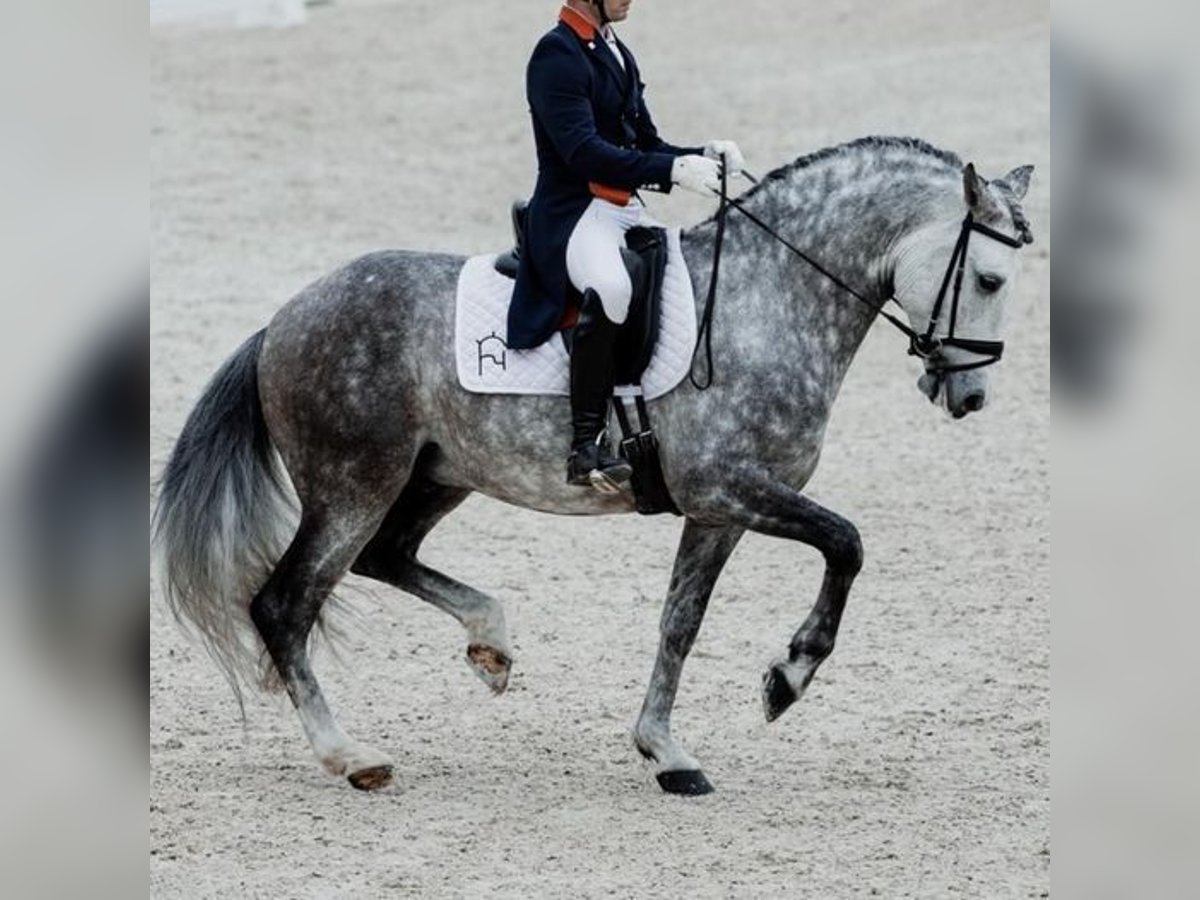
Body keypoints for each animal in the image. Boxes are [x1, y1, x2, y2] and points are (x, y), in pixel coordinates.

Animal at [152, 133, 1032, 796]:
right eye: (990, 278)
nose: (971, 396)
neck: (768, 296)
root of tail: (280, 321)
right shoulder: (730, 487)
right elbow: (846, 543)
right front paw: (790, 675)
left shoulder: (717, 510)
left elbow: (681, 621)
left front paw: (666, 752)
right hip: (352, 485)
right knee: (285, 604)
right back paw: (351, 755)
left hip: (436, 476)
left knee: (384, 557)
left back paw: (491, 644)